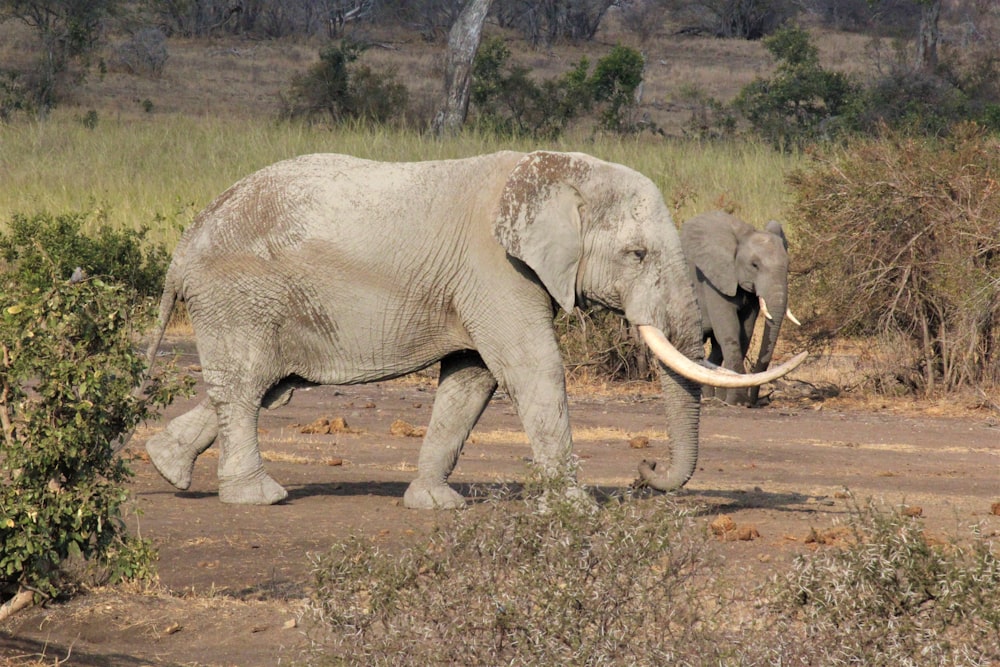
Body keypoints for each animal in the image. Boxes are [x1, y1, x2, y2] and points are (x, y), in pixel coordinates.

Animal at [676, 211, 800, 404]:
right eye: (754, 265)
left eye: (788, 266)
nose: (754, 401)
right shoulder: (713, 280)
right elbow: (730, 331)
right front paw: (738, 402)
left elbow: (745, 333)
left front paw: (731, 399)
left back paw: (712, 396)